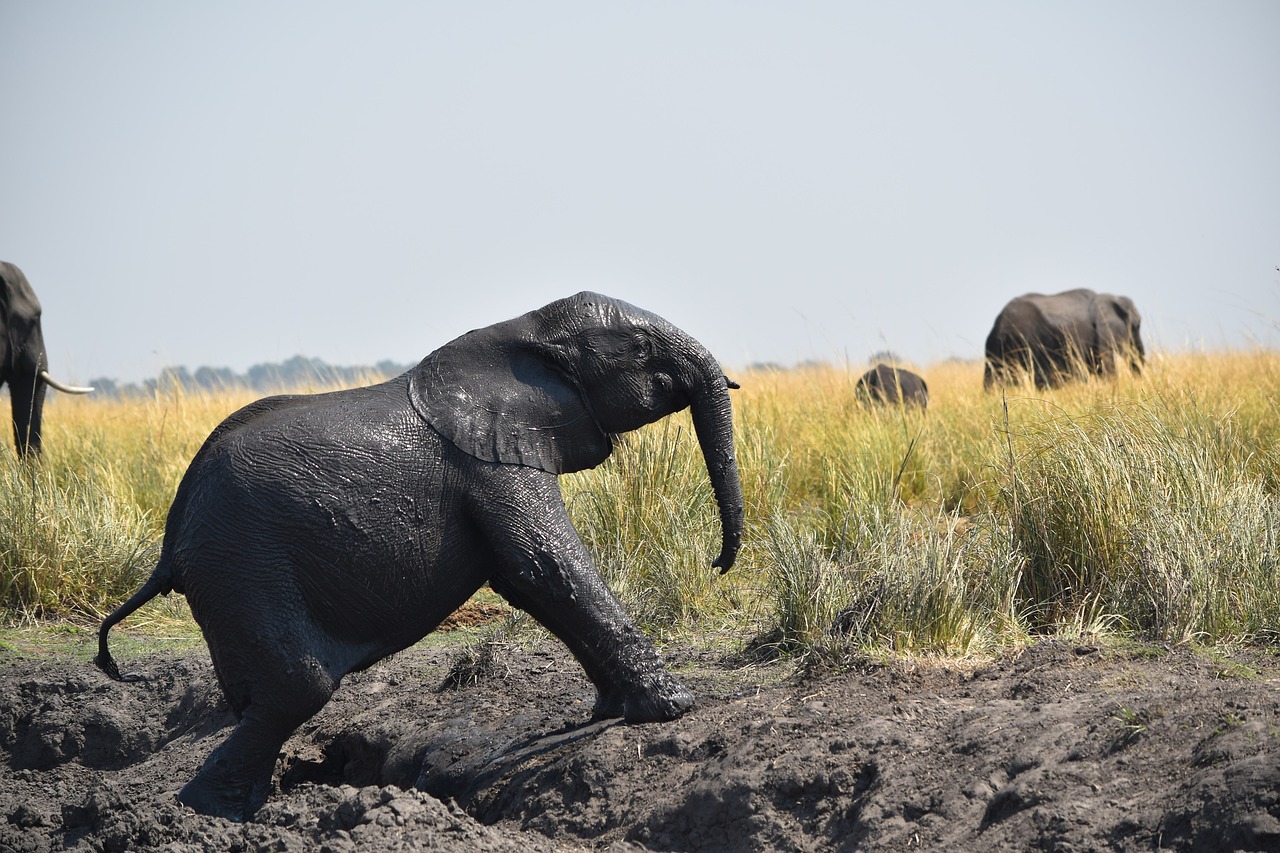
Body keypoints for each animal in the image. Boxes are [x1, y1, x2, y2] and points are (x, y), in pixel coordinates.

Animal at [97, 290, 747, 819]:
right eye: (641, 349)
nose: (717, 565)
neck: (524, 329)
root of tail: (171, 541)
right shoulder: (491, 461)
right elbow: (544, 563)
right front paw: (676, 705)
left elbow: (530, 582)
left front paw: (616, 708)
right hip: (242, 563)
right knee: (295, 689)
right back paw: (211, 818)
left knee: (263, 703)